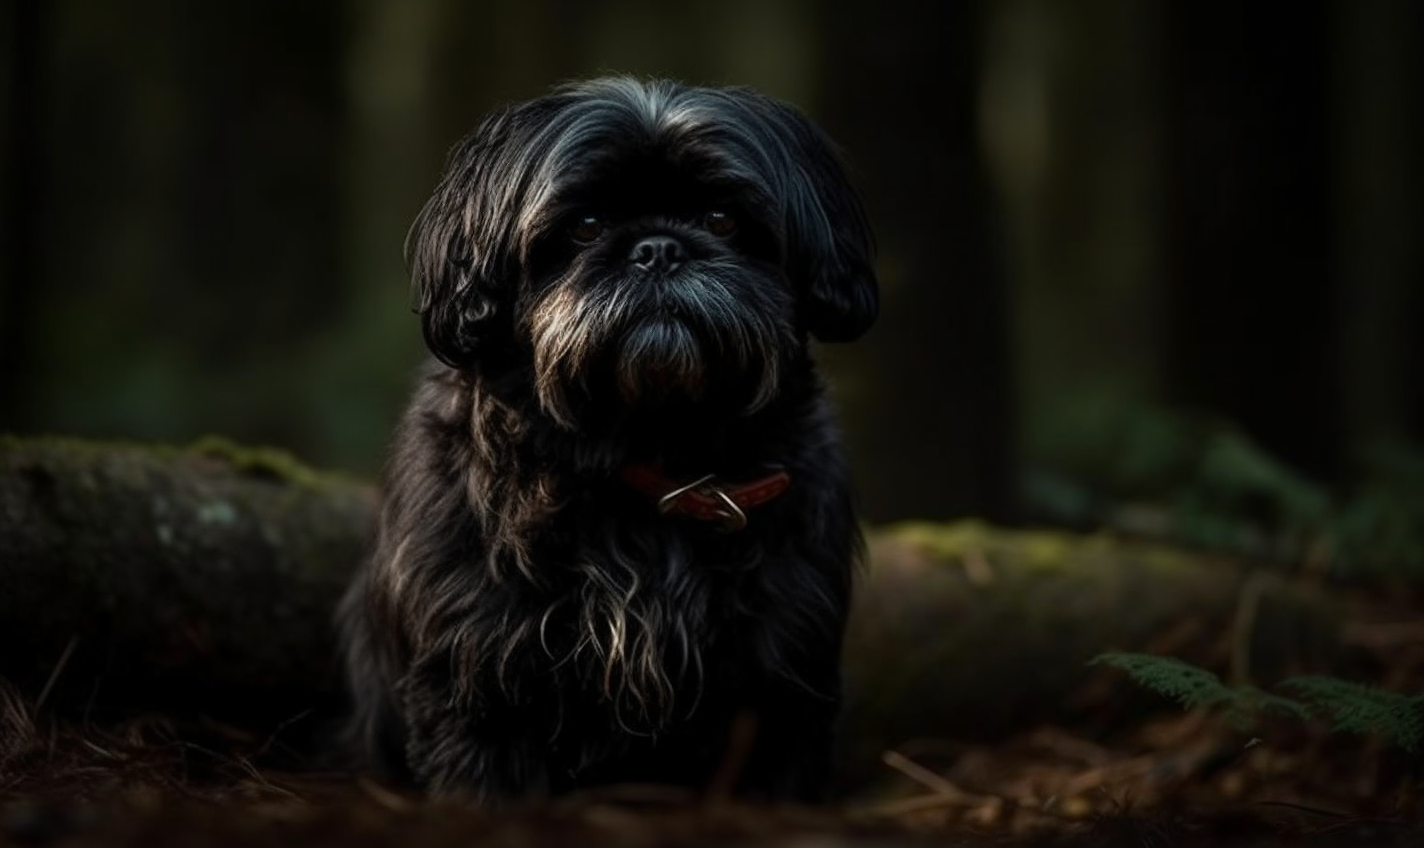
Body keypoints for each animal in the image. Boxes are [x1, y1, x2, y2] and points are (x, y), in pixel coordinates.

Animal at [341, 77, 877, 802]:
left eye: (721, 220)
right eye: (587, 227)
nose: (658, 249)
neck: (649, 450)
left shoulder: (783, 675)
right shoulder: (477, 672)